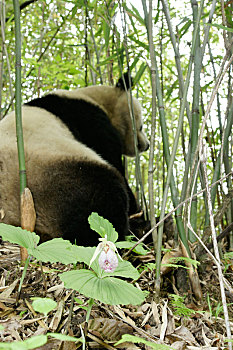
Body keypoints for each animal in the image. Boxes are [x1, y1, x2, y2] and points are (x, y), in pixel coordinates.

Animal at [0, 73, 149, 246]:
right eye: (141, 126)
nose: (146, 145)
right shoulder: (92, 121)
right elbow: (112, 159)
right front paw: (138, 211)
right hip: (58, 178)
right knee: (102, 199)